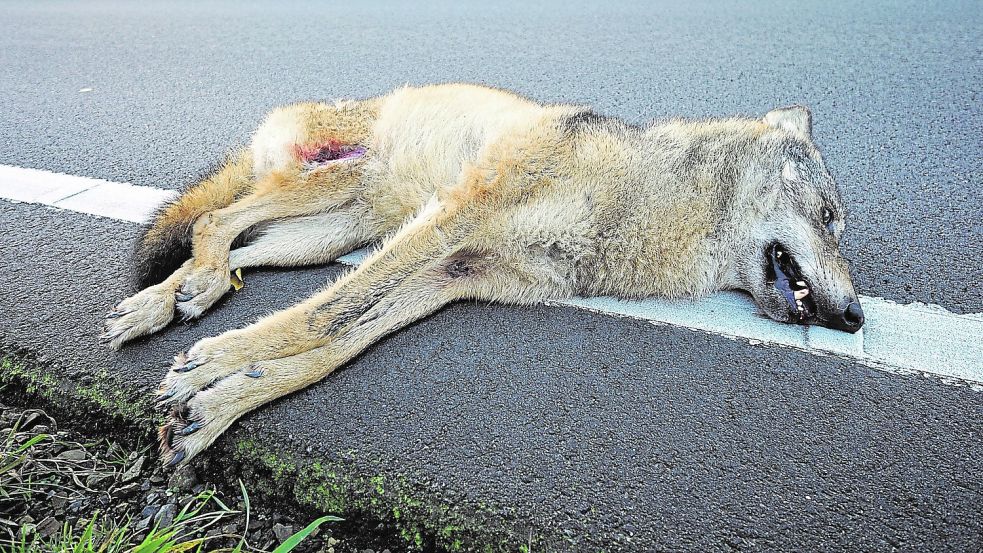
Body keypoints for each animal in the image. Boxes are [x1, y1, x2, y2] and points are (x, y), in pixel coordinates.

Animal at [104, 81, 864, 462]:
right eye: (830, 217)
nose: (857, 316)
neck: (638, 197)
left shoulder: (449, 275)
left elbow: (337, 343)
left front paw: (219, 400)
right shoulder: (449, 223)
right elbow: (324, 319)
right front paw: (211, 370)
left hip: (335, 232)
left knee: (235, 248)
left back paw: (174, 298)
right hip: (338, 197)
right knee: (213, 221)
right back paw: (177, 296)